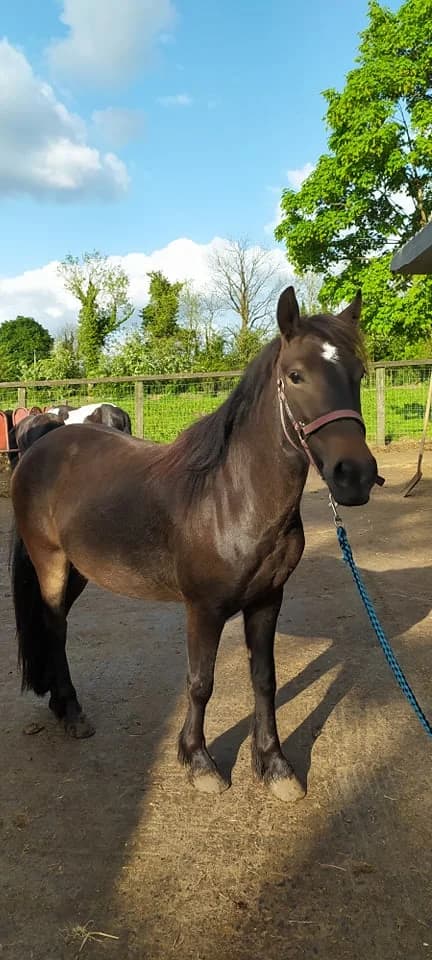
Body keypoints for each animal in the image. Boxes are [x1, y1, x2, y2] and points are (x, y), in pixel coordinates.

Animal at [10, 287, 380, 802]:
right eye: (296, 376)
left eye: (358, 374)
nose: (355, 475)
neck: (232, 497)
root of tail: (41, 444)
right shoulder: (203, 609)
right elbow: (201, 682)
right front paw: (199, 762)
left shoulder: (268, 599)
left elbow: (264, 679)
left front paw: (275, 765)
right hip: (51, 563)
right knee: (55, 627)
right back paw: (73, 714)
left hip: (80, 570)